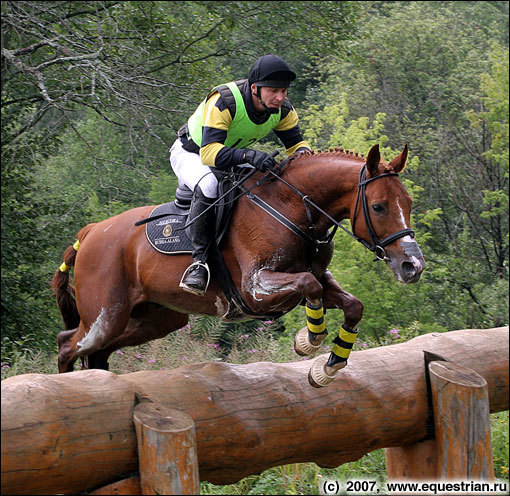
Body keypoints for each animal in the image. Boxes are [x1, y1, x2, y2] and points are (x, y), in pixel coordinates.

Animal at [52, 143, 426, 388]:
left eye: (408, 203)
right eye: (378, 207)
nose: (413, 265)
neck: (291, 208)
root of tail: (90, 232)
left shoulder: (316, 279)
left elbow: (352, 304)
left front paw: (328, 368)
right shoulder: (256, 288)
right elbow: (309, 286)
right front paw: (308, 340)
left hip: (154, 319)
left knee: (96, 352)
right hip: (105, 316)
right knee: (67, 343)